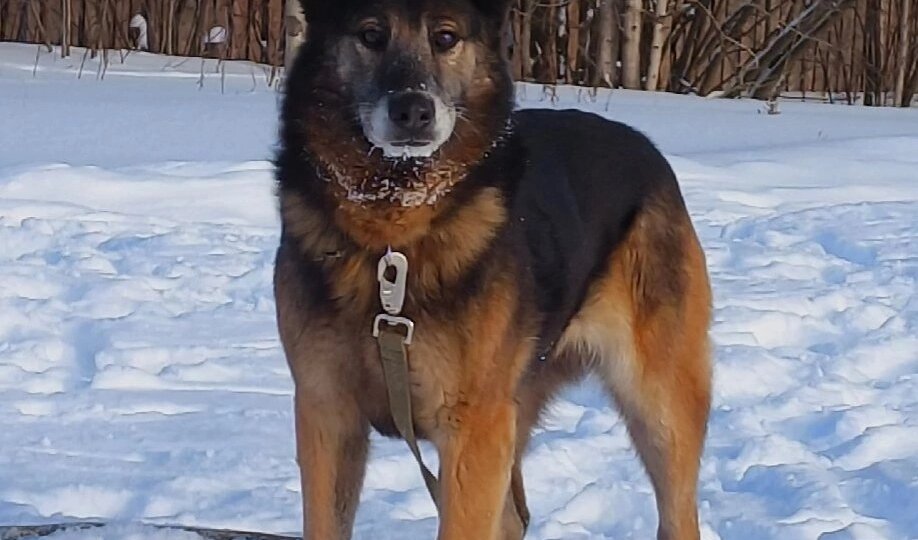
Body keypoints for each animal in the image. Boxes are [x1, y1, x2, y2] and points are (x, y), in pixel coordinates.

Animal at [274, 0, 712, 536]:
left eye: (445, 38)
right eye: (371, 35)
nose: (413, 110)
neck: (391, 241)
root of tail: (645, 148)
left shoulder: (472, 430)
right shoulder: (327, 416)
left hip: (659, 408)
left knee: (677, 509)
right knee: (514, 516)